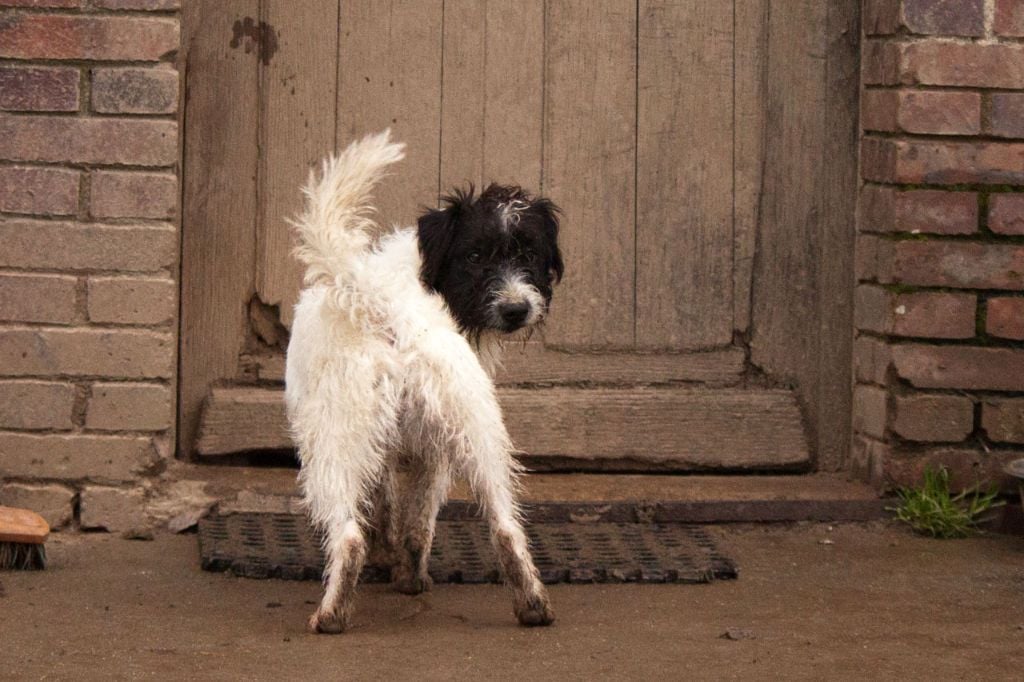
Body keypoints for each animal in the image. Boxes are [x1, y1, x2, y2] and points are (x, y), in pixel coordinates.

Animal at [284, 130, 565, 630]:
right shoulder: (428, 452)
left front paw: (386, 559)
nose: (517, 309)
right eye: (475, 255)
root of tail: (388, 307)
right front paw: (402, 568)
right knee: (505, 529)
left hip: (333, 446)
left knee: (349, 535)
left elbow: (382, 511)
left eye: (529, 254)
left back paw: (333, 612)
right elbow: (414, 525)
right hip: (479, 437)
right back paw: (526, 603)